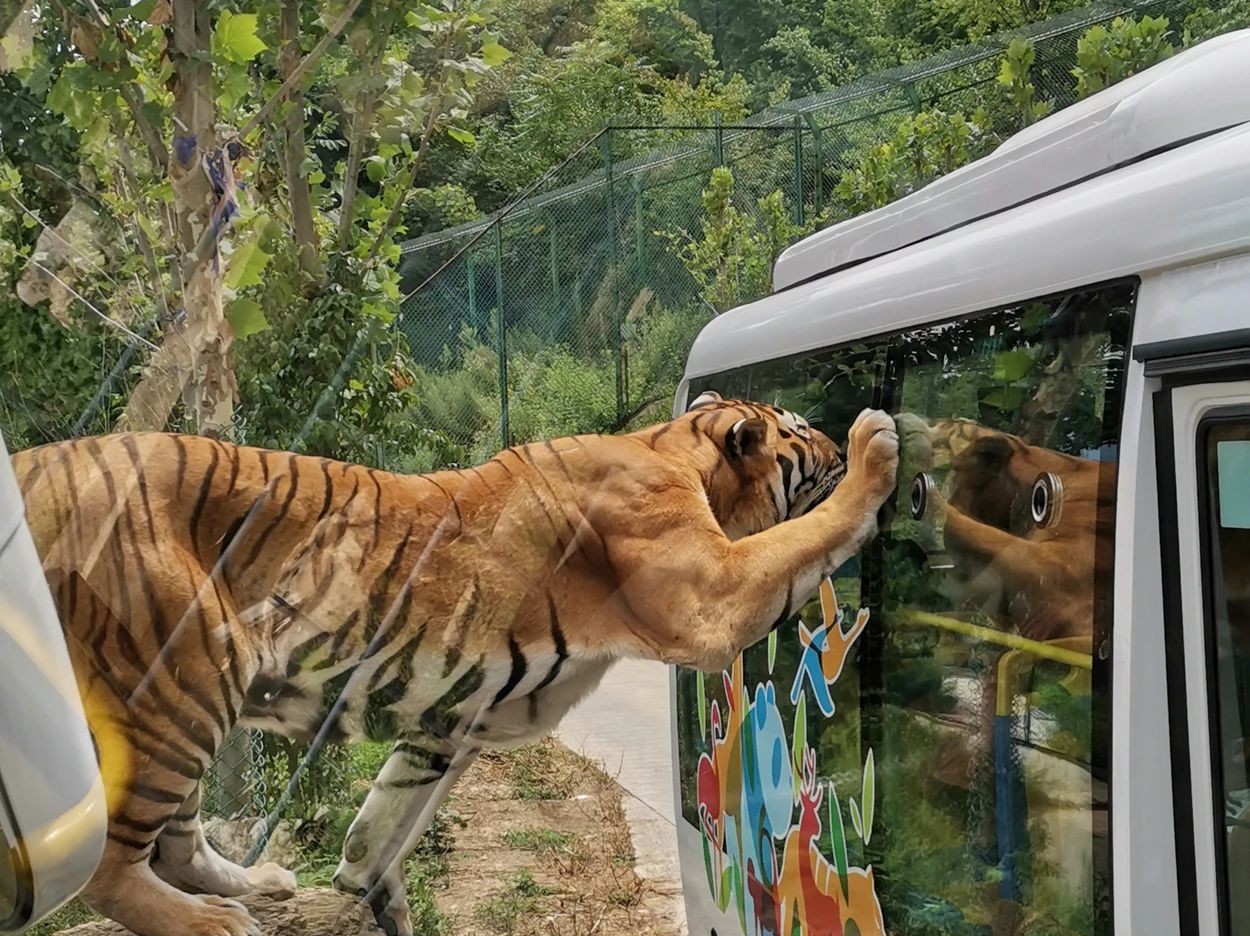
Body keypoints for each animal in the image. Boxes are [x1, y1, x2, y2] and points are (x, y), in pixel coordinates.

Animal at [9, 389, 900, 934]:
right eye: (800, 431)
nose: (830, 431)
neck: (672, 449)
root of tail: (31, 464)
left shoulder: (450, 724)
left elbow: (376, 831)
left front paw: (373, 902)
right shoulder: (712, 595)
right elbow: (811, 534)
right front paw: (877, 447)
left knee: (173, 840)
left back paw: (258, 886)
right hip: (179, 679)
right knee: (110, 861)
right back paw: (209, 920)